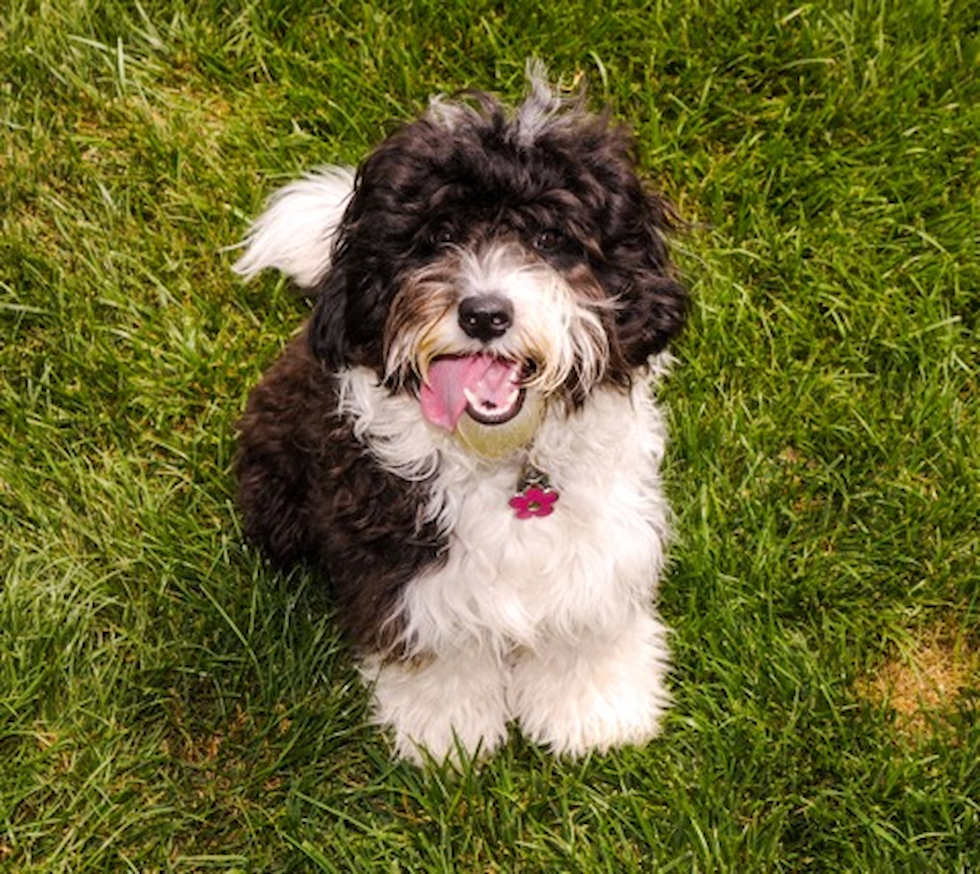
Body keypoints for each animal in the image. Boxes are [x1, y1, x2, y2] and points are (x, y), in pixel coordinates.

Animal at [231, 66, 688, 764]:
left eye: (549, 239)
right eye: (439, 237)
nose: (484, 315)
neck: (508, 460)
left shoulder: (604, 540)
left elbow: (588, 626)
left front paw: (592, 712)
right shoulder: (405, 564)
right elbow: (440, 649)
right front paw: (448, 734)